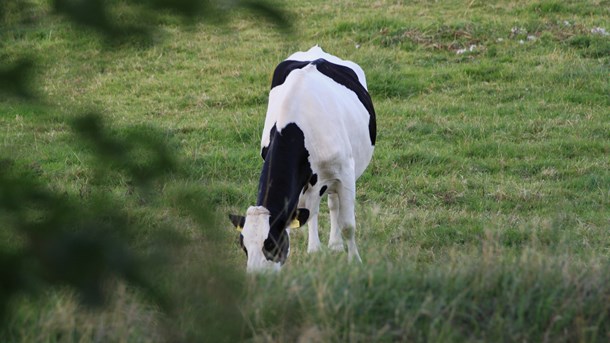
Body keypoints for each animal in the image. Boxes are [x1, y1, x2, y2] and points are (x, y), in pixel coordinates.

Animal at [228, 45, 372, 272]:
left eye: (271, 244)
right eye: (244, 246)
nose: (256, 276)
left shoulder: (345, 172)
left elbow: (348, 225)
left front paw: (355, 261)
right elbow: (306, 216)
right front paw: (311, 253)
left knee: (333, 204)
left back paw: (335, 245)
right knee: (316, 208)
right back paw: (323, 247)